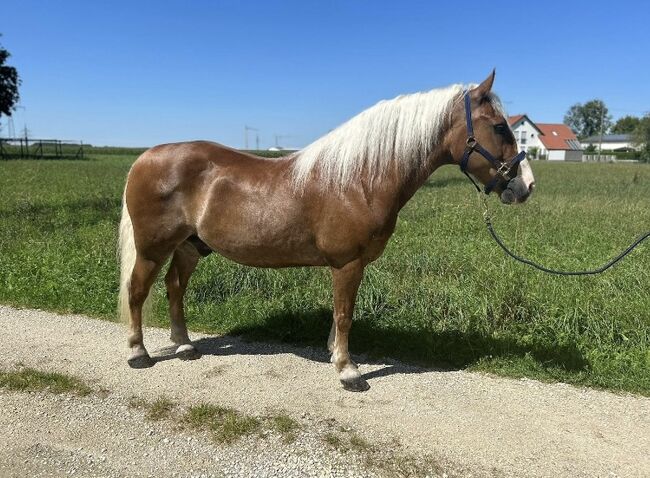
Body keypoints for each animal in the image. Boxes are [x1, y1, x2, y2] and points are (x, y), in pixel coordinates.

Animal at [119, 71, 536, 392]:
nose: (526, 187)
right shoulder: (347, 263)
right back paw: (138, 353)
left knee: (174, 287)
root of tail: (144, 157)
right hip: (153, 247)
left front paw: (336, 355)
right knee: (137, 290)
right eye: (500, 126)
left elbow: (338, 317)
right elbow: (345, 315)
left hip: (190, 246)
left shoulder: (350, 265)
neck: (359, 180)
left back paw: (185, 347)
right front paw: (349, 372)